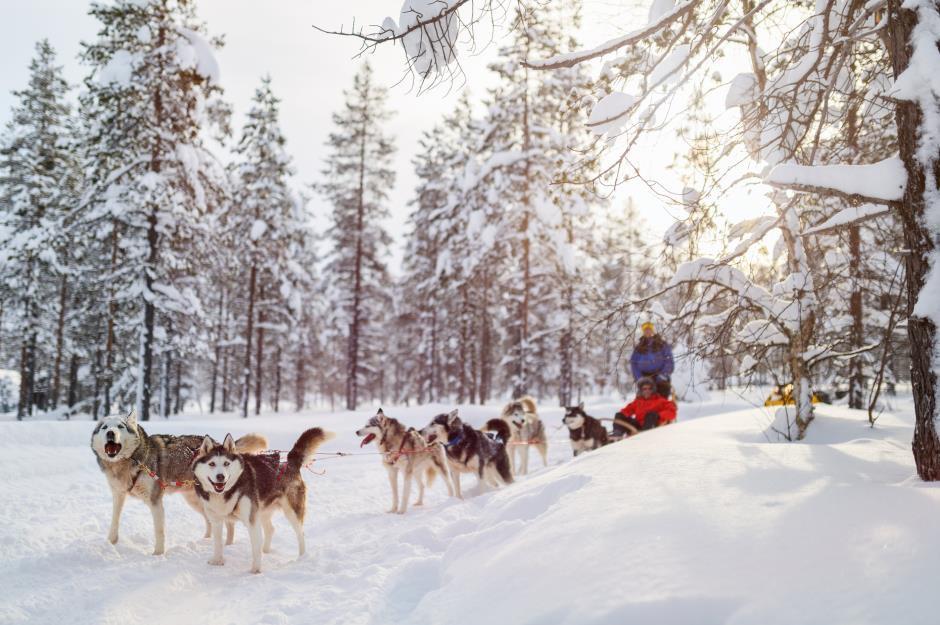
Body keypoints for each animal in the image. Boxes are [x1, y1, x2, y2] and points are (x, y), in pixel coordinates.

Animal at [89, 412, 266, 552]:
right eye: (104, 427)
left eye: (120, 426)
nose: (110, 433)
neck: (128, 462)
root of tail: (219, 445)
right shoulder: (118, 495)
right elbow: (114, 520)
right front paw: (110, 542)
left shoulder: (155, 502)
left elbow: (159, 532)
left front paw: (158, 555)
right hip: (196, 501)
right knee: (210, 521)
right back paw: (206, 539)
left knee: (228, 524)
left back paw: (227, 545)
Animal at [191, 426, 334, 572]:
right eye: (212, 464)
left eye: (226, 463)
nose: (220, 477)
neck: (226, 492)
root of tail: (290, 461)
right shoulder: (216, 521)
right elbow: (218, 543)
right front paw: (217, 561)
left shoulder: (251, 520)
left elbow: (255, 547)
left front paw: (255, 570)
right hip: (263, 511)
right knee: (270, 529)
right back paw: (265, 551)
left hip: (291, 512)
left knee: (301, 534)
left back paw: (302, 558)